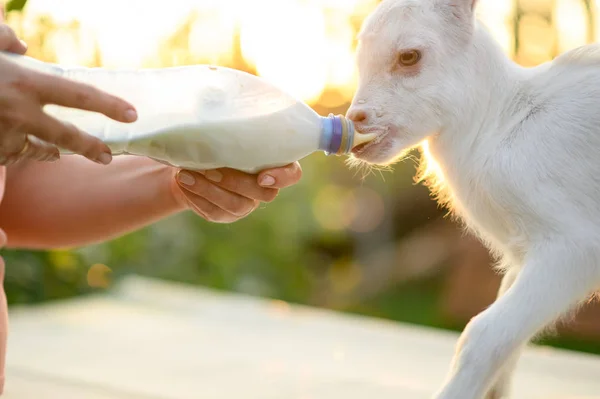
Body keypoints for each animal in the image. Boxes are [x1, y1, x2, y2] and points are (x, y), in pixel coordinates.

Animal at [346, 0, 600, 399]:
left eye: (408, 56)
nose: (356, 119)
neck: (501, 124)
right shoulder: (526, 254)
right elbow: (507, 347)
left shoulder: (574, 246)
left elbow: (482, 335)